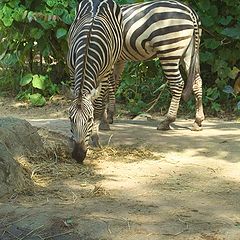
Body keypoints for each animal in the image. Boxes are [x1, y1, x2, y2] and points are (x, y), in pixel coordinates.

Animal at [68, 0, 123, 163]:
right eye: (70, 119)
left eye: (90, 119)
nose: (78, 156)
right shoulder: (72, 70)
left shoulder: (103, 75)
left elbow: (98, 105)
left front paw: (95, 138)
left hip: (112, 64)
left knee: (107, 92)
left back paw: (105, 120)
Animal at [102, 0, 205, 131]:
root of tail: (190, 11)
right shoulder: (119, 60)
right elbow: (113, 84)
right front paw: (109, 114)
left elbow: (106, 85)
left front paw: (103, 115)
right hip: (190, 53)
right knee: (197, 82)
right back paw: (198, 121)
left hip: (168, 50)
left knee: (177, 83)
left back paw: (167, 121)